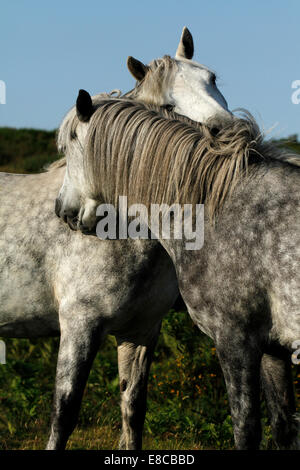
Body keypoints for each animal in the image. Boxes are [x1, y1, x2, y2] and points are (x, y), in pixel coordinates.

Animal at [0, 27, 234, 450]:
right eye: (168, 103)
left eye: (212, 79)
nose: (230, 131)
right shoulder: (79, 326)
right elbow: (64, 414)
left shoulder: (140, 331)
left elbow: (133, 410)